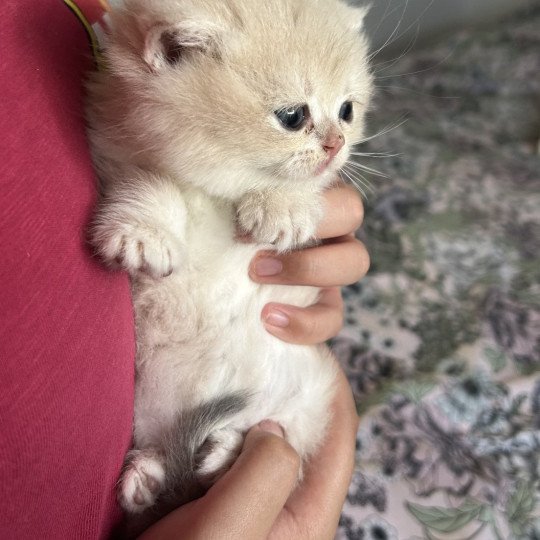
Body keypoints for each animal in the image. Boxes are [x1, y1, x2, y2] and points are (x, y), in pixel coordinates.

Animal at [86, 0, 374, 532]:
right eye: (293, 115)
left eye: (347, 110)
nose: (336, 144)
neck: (213, 187)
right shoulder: (117, 155)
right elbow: (153, 181)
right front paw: (142, 234)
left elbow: (297, 189)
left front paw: (281, 208)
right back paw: (150, 475)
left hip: (306, 397)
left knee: (268, 428)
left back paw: (220, 452)